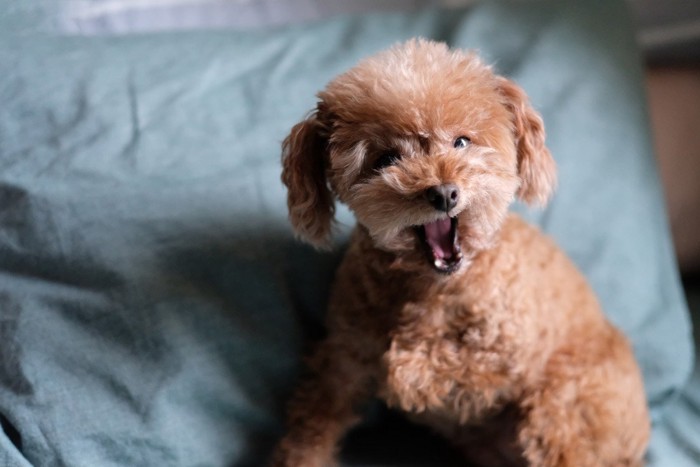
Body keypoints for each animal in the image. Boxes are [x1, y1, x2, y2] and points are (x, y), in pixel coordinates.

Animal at [272, 38, 652, 466]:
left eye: (462, 142)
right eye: (387, 158)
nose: (444, 193)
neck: (432, 287)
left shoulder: (512, 351)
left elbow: (450, 365)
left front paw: (406, 372)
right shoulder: (342, 357)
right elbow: (313, 423)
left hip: (561, 406)